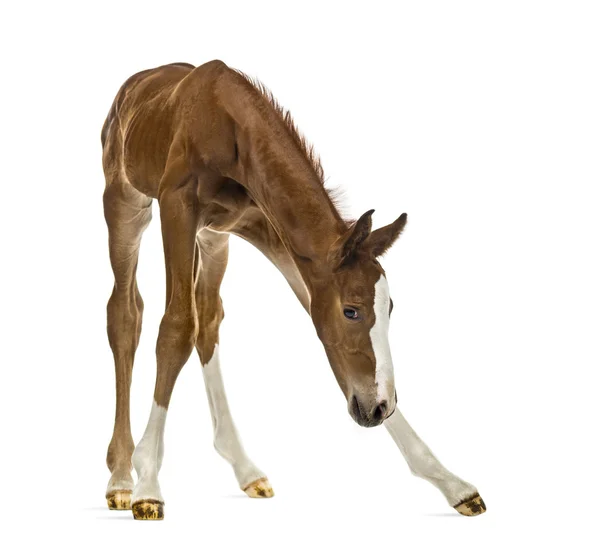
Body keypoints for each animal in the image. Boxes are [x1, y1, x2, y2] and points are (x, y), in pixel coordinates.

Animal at [102, 61, 488, 520]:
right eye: (352, 310)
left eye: (390, 307)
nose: (377, 409)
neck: (230, 123)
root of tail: (135, 83)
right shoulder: (176, 207)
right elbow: (174, 327)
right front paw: (148, 482)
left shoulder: (271, 231)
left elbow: (313, 323)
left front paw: (451, 482)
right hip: (127, 204)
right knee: (126, 315)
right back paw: (120, 477)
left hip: (214, 237)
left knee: (208, 318)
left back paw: (244, 467)